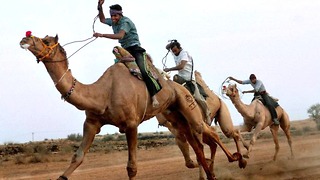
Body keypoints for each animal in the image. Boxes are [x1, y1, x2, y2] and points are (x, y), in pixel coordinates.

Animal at [19, 33, 232, 180]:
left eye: (46, 41)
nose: (25, 38)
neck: (103, 93)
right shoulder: (92, 123)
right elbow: (77, 157)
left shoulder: (131, 124)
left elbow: (131, 167)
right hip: (175, 116)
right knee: (197, 146)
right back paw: (212, 172)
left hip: (188, 105)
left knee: (208, 134)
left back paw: (234, 159)